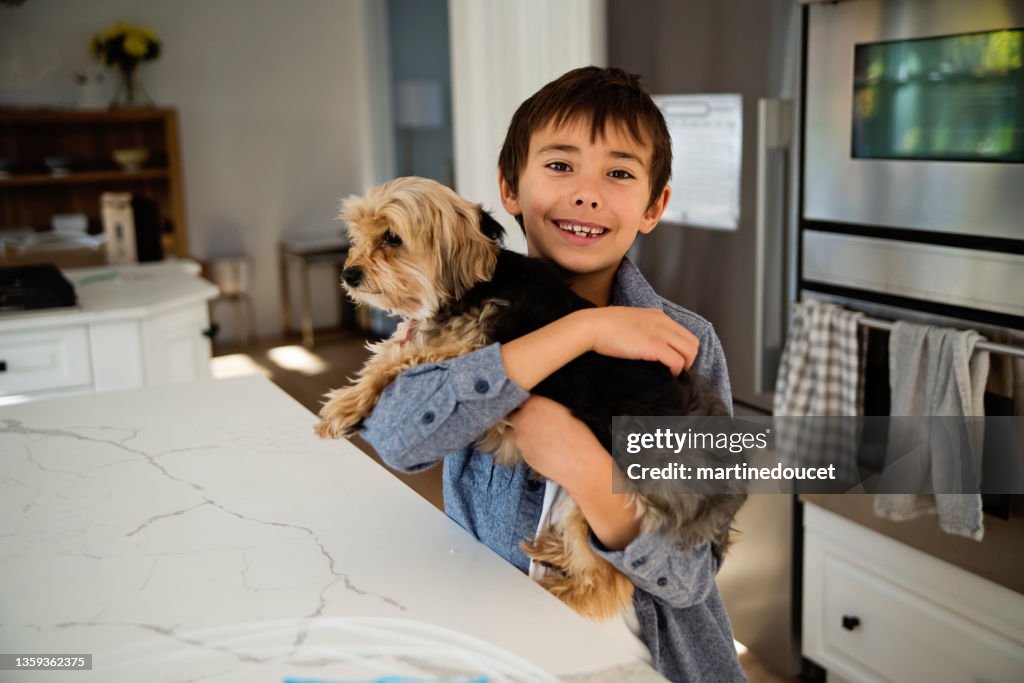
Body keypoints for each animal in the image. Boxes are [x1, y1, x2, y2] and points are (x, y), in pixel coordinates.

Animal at [317, 179, 745, 622]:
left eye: (393, 238)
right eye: (357, 233)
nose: (348, 274)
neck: (473, 283)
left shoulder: (466, 346)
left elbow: (401, 359)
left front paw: (344, 407)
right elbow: (391, 350)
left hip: (607, 501)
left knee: (610, 582)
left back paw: (558, 591)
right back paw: (553, 551)